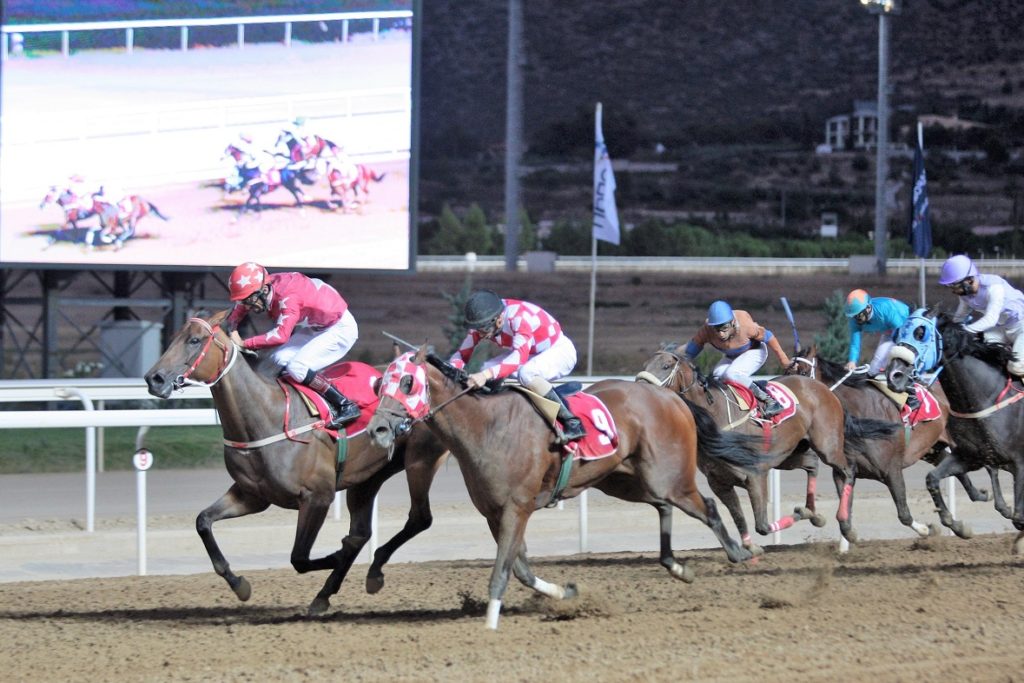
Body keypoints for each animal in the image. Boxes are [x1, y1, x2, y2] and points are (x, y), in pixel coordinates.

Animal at [143, 309, 448, 614]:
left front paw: (335, 556)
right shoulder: (252, 495)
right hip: (367, 477)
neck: (266, 417)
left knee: (419, 518)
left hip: (419, 461)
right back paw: (331, 591)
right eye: (174, 337)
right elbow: (203, 522)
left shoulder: (317, 497)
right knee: (361, 533)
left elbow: (299, 558)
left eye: (194, 340)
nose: (153, 378)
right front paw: (239, 584)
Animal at [368, 348, 770, 630]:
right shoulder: (495, 513)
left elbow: (503, 571)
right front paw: (566, 592)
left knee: (706, 506)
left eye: (406, 382)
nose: (378, 430)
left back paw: (742, 552)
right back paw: (677, 566)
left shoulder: (517, 508)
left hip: (669, 477)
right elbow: (521, 569)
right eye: (379, 383)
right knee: (663, 506)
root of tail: (671, 398)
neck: (487, 426)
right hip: (623, 480)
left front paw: (490, 625)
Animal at [634, 348, 876, 548]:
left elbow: (763, 525)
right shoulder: (719, 482)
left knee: (846, 470)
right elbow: (739, 517)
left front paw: (796, 515)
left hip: (827, 445)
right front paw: (750, 547)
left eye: (666, 366)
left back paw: (846, 526)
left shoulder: (755, 474)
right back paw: (815, 514)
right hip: (789, 453)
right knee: (812, 464)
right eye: (645, 364)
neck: (716, 415)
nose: (641, 390)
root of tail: (824, 388)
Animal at [786, 344, 1003, 540]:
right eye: (786, 372)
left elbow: (904, 514)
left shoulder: (892, 469)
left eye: (803, 372)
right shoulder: (844, 471)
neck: (862, 415)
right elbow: (844, 519)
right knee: (952, 471)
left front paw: (927, 529)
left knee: (989, 466)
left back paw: (1002, 507)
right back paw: (968, 510)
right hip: (933, 448)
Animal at [884, 307, 1024, 552]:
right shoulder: (971, 456)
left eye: (921, 333)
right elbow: (932, 478)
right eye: (898, 332)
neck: (985, 399)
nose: (894, 376)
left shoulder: (1019, 461)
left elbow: (1018, 517)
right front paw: (958, 526)